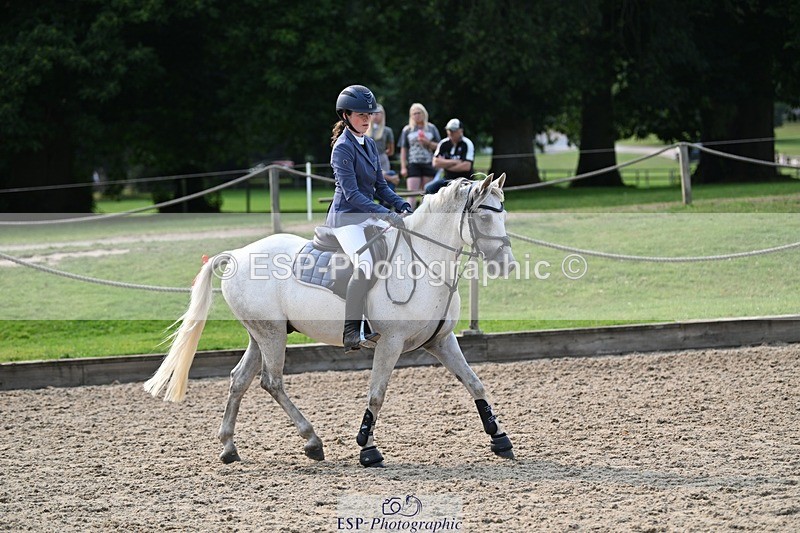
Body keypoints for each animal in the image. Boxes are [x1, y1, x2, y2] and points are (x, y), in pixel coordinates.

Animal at [144, 173, 516, 467]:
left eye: (504, 215)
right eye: (484, 218)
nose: (507, 265)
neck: (423, 262)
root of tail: (236, 255)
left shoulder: (441, 340)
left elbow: (475, 383)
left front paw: (500, 438)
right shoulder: (391, 342)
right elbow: (376, 395)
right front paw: (368, 449)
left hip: (260, 334)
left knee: (239, 380)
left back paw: (229, 448)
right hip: (272, 334)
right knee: (272, 382)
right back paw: (312, 441)